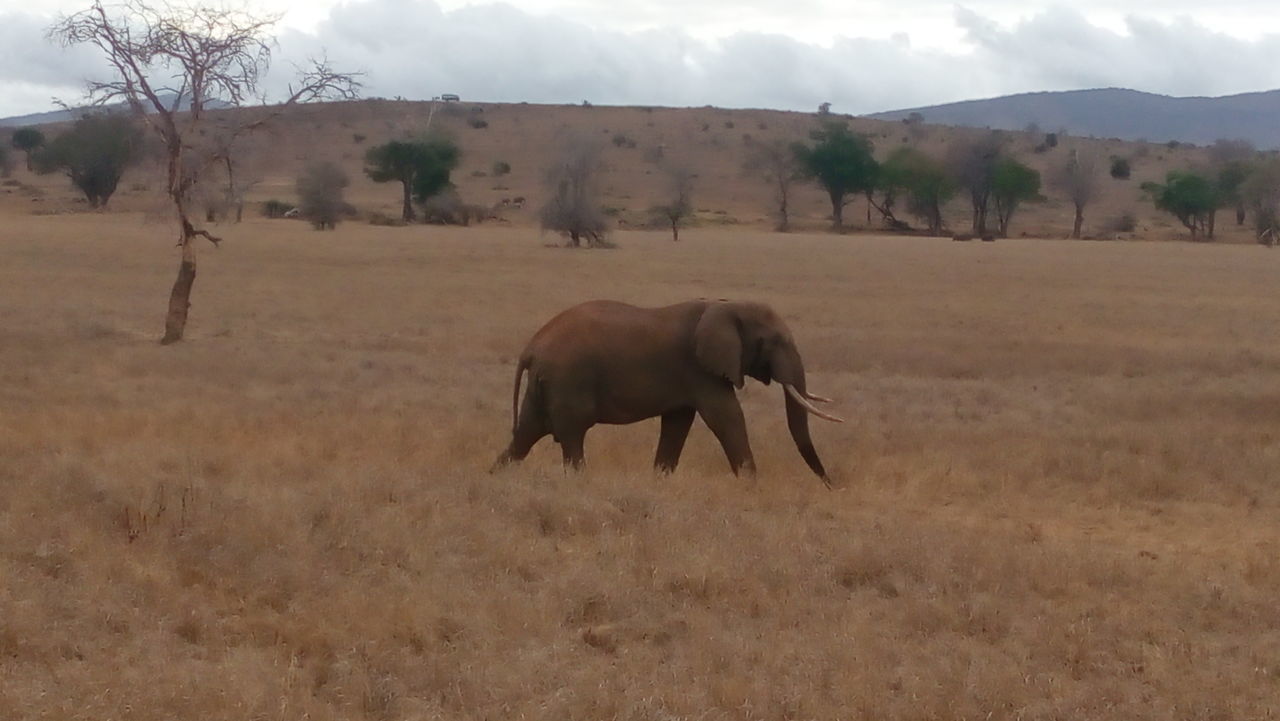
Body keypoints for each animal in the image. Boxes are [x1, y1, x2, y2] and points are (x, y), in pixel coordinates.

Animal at [488, 299, 839, 484]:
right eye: (775, 342)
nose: (831, 484)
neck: (725, 305)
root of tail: (531, 348)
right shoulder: (701, 370)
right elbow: (727, 417)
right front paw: (751, 484)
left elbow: (677, 424)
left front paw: (660, 480)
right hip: (568, 380)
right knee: (572, 437)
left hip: (544, 386)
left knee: (524, 436)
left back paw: (494, 478)